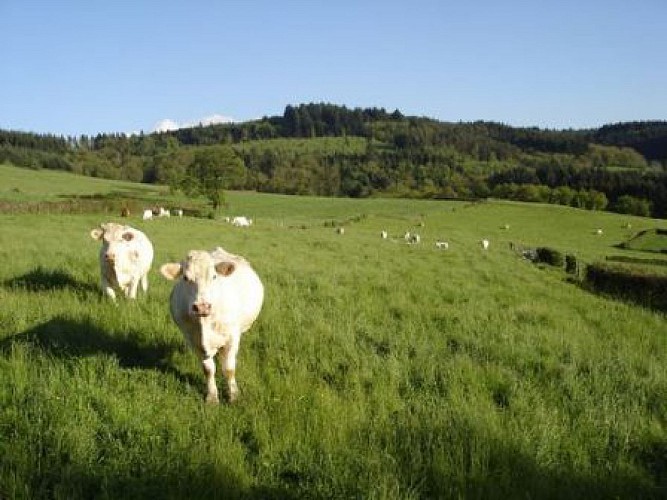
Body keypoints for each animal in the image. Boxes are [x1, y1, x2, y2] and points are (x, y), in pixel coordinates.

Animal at [160, 248, 264, 404]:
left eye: (214, 277)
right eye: (185, 277)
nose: (202, 307)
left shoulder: (232, 338)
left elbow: (229, 369)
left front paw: (233, 395)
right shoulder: (193, 341)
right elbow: (208, 369)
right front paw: (212, 397)